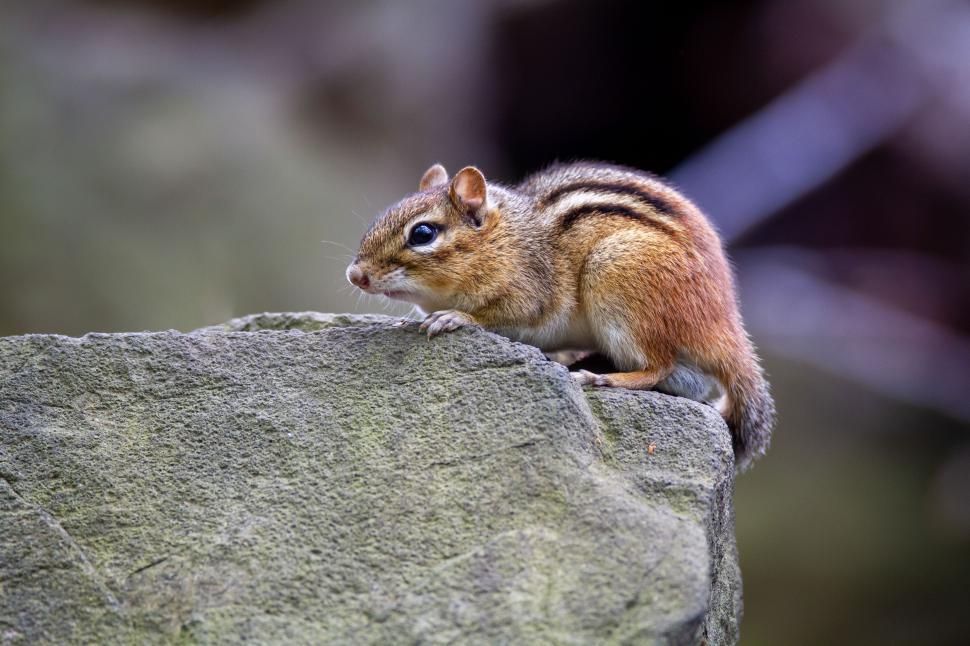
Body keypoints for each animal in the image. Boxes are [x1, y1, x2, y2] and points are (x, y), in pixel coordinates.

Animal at [346, 161, 775, 469]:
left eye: (422, 234)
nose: (355, 275)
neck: (506, 239)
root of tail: (727, 325)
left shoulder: (530, 295)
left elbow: (498, 315)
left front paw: (454, 318)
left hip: (615, 275)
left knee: (658, 366)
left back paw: (603, 378)